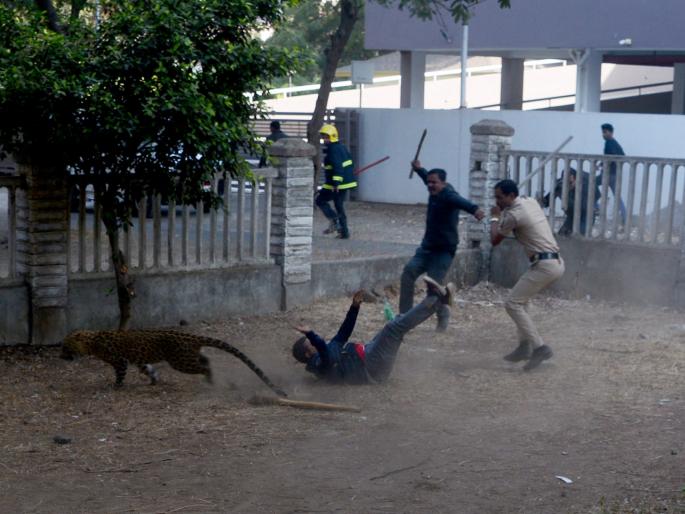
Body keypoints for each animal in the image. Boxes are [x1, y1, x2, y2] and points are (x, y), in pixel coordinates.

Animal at [61, 329, 287, 397]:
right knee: (206, 358)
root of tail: (192, 336)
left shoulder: (120, 361)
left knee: (204, 366)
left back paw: (210, 380)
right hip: (186, 357)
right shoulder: (138, 361)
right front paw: (153, 380)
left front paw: (115, 386)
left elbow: (120, 374)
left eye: (65, 346)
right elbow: (147, 369)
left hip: (180, 362)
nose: (61, 356)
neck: (91, 341)